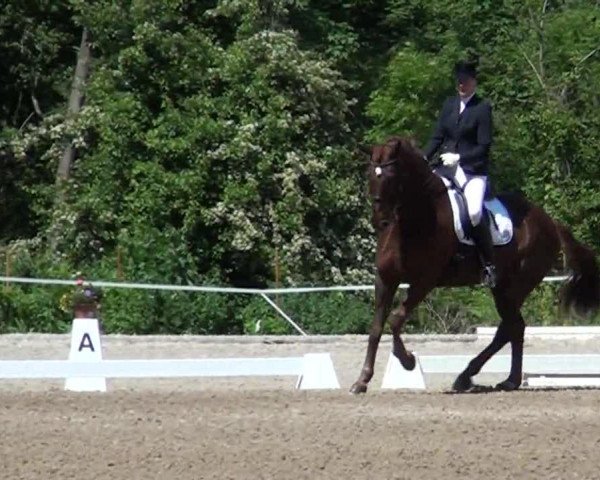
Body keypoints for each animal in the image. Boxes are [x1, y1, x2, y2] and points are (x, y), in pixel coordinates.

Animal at [352, 135, 600, 394]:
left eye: (392, 176)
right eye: (370, 175)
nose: (381, 221)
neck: (414, 221)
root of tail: (551, 222)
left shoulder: (425, 281)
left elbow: (395, 318)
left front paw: (408, 361)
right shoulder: (386, 279)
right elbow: (376, 327)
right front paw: (362, 381)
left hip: (515, 285)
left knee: (510, 327)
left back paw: (476, 377)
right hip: (503, 288)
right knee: (513, 327)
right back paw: (501, 379)